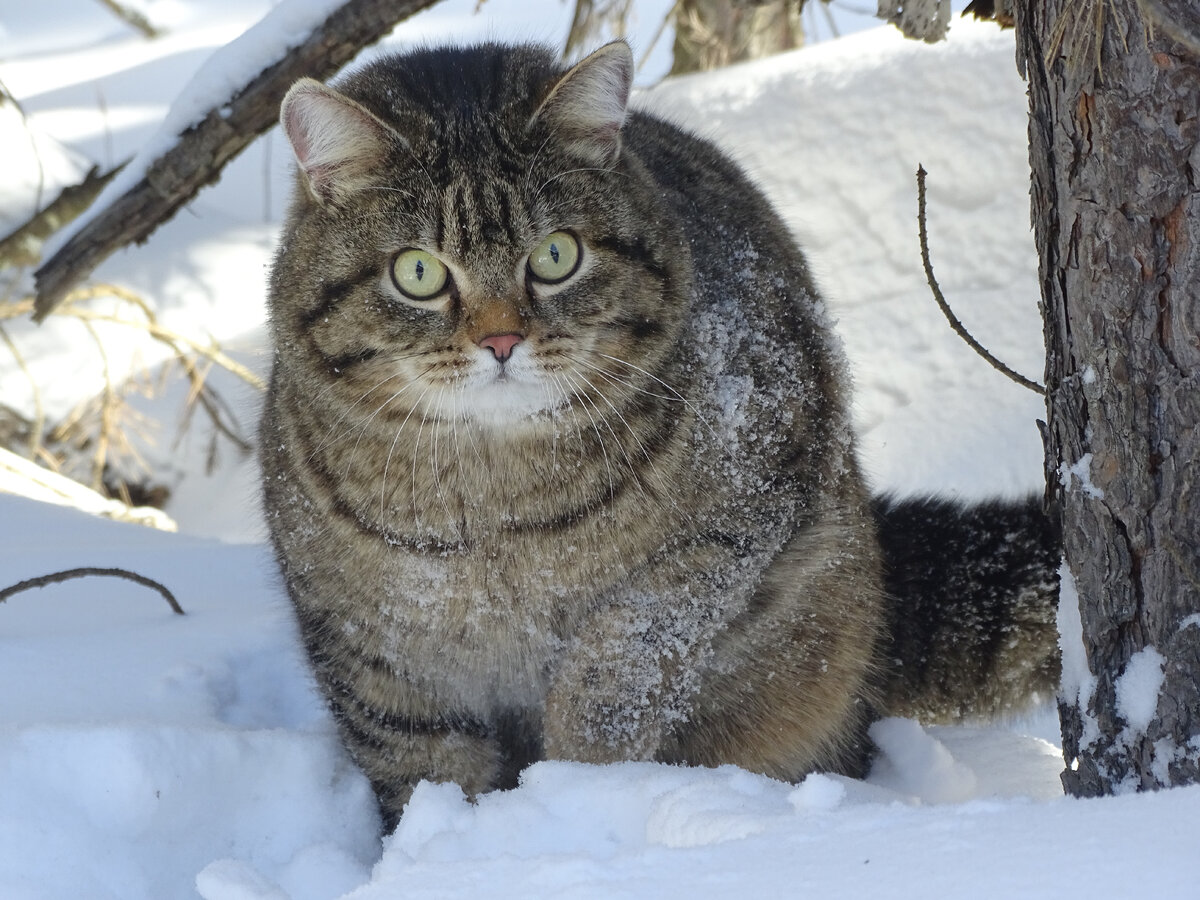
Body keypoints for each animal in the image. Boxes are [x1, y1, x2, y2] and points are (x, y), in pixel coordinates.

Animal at [262, 42, 1060, 830]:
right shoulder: (368, 647)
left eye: (556, 255)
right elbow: (420, 767)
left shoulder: (733, 525)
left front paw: (576, 795)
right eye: (418, 272)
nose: (501, 340)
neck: (496, 516)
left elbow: (616, 673)